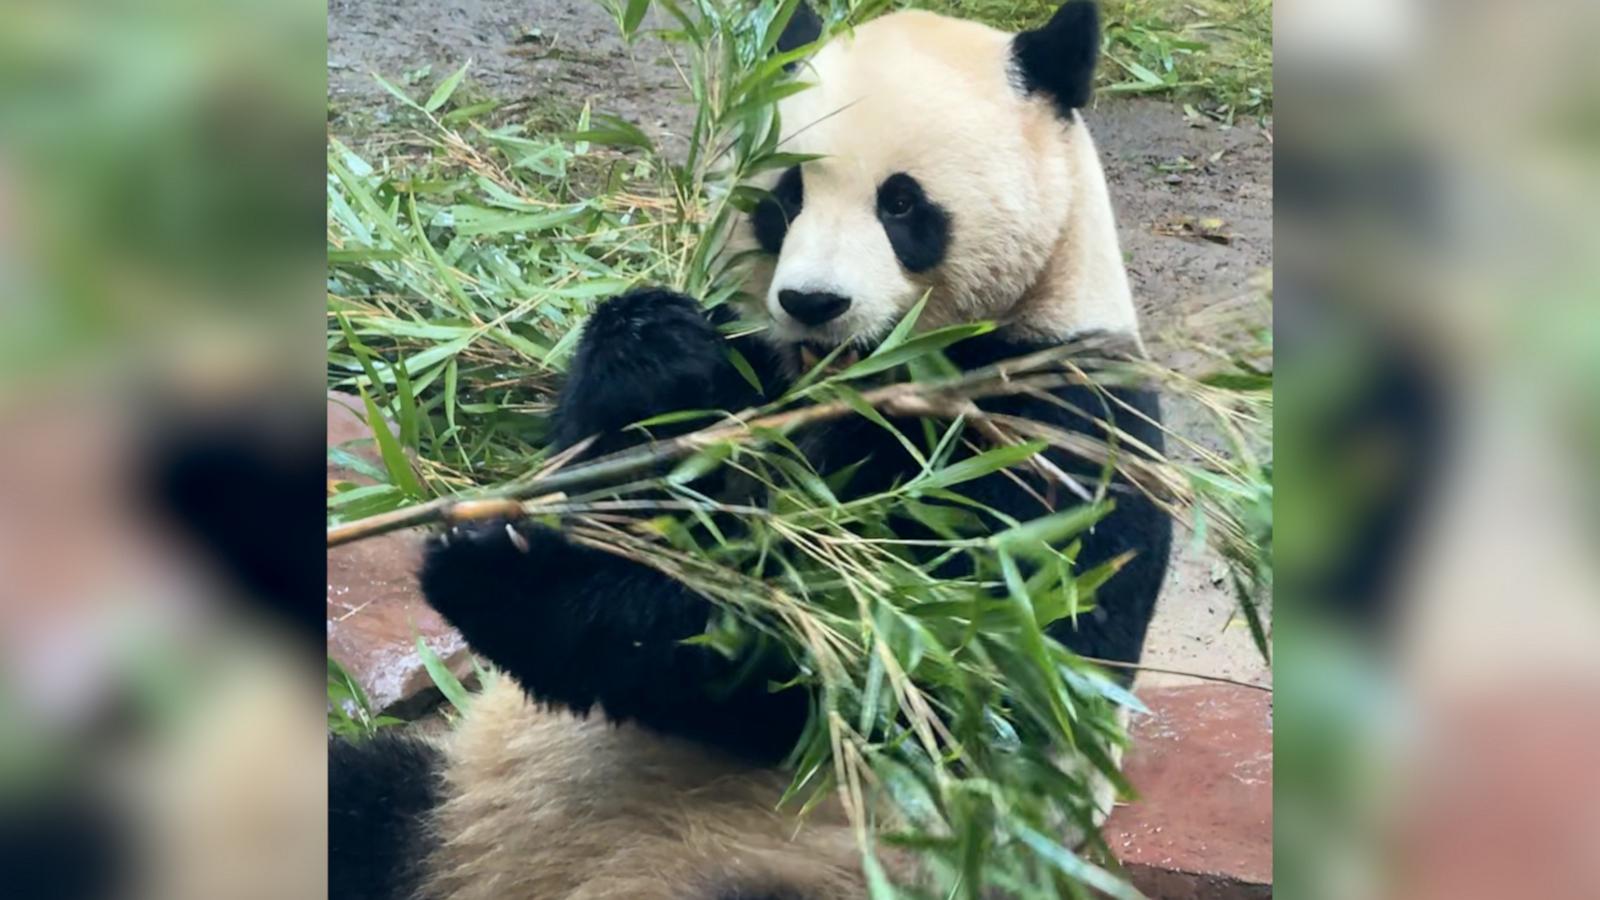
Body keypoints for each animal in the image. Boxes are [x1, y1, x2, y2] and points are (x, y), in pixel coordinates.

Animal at [328, 3, 1177, 890]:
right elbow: (628, 473)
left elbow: (894, 666)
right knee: (357, 801)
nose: (813, 302)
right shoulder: (757, 366)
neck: (856, 376)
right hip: (448, 802)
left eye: (901, 205)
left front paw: (497, 572)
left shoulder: (1051, 425)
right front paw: (648, 349)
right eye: (787, 195)